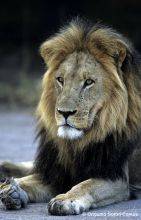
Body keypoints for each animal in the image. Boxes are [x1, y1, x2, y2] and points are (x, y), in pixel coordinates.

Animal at [0, 18, 141, 215]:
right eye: (60, 80)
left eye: (88, 82)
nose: (64, 113)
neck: (77, 143)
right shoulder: (57, 173)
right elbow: (32, 179)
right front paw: (12, 189)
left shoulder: (117, 178)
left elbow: (85, 185)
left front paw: (66, 200)